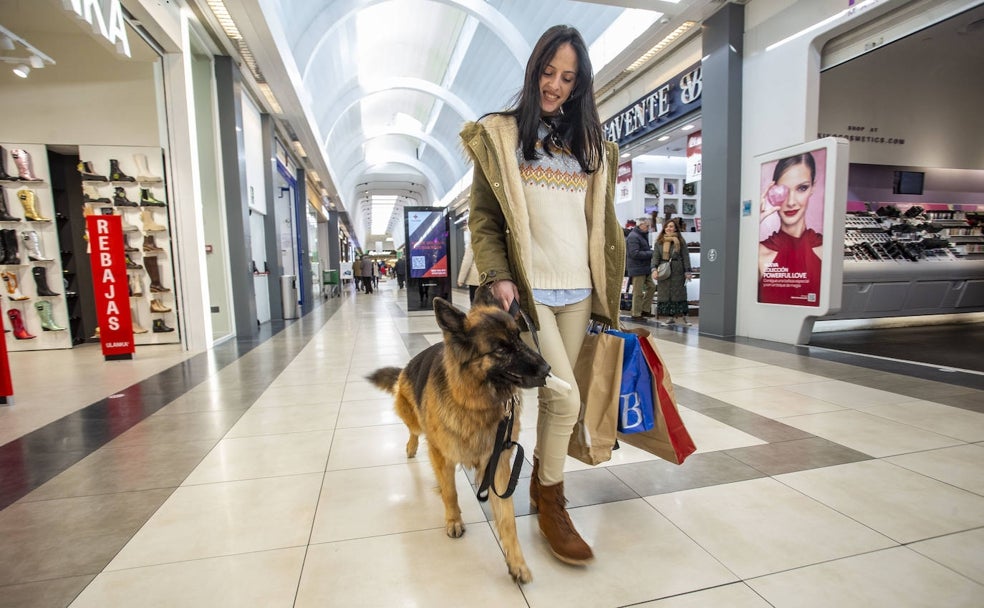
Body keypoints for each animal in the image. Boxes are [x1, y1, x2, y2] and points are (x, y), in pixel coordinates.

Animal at [368, 290, 548, 584]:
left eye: (519, 337)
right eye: (500, 349)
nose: (547, 369)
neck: (474, 401)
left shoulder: (497, 465)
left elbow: (507, 519)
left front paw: (516, 562)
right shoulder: (443, 454)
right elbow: (451, 492)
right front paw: (453, 520)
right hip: (412, 417)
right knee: (415, 433)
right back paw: (412, 448)